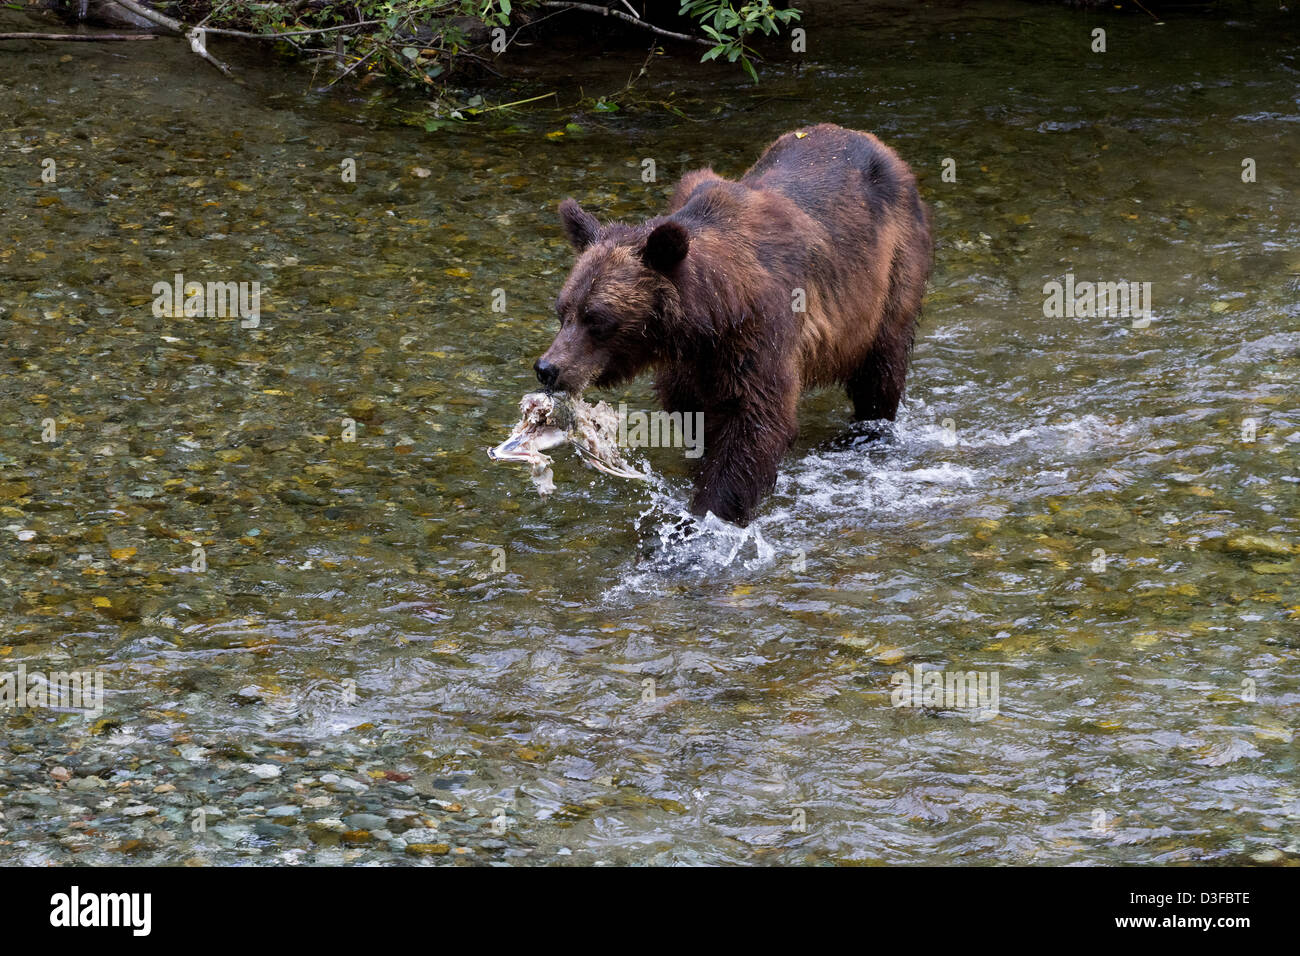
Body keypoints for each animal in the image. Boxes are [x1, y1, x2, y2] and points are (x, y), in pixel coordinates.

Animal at [534, 123, 933, 527]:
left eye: (597, 318)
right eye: (563, 311)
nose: (547, 368)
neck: (712, 315)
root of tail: (871, 140)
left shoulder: (763, 330)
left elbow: (754, 425)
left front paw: (702, 516)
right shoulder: (694, 362)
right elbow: (696, 411)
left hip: (891, 269)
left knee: (881, 365)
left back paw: (865, 433)